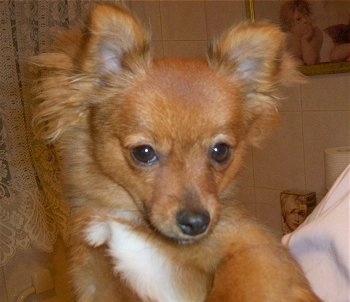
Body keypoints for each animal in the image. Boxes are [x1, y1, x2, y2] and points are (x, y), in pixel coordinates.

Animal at [32, 2, 320, 302]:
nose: (197, 223)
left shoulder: (257, 248)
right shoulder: (97, 284)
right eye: (143, 152)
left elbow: (234, 285)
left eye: (221, 151)